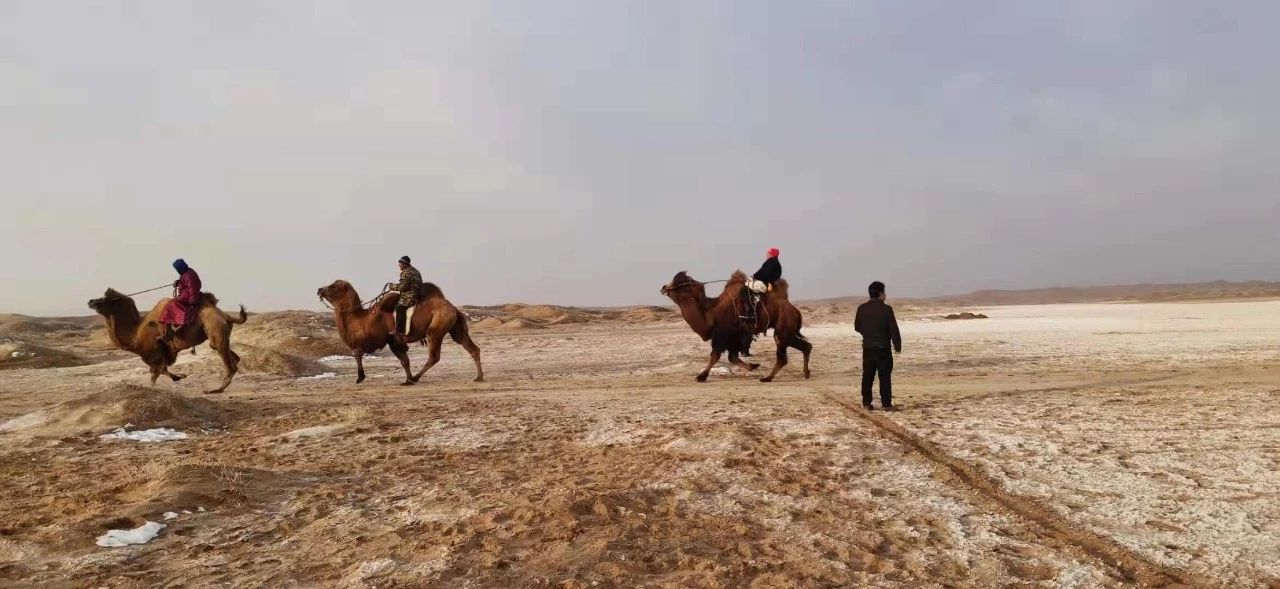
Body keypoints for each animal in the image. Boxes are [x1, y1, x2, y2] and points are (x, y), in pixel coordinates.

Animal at [87, 288, 247, 394]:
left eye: (106, 299)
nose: (91, 301)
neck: (135, 334)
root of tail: (225, 315)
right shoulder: (164, 353)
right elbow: (160, 371)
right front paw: (180, 377)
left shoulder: (155, 353)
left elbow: (155, 373)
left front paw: (176, 378)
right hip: (220, 332)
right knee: (234, 357)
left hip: (215, 328)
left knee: (229, 362)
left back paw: (216, 389)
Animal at [316, 280, 483, 386]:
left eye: (333, 286)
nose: (319, 289)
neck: (360, 319)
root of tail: (454, 309)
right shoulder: (395, 341)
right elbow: (405, 361)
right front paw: (407, 380)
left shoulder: (387, 339)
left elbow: (358, 353)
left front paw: (360, 378)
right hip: (456, 329)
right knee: (473, 348)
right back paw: (479, 377)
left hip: (435, 331)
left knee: (434, 357)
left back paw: (416, 378)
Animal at [660, 270, 808, 381]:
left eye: (680, 283)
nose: (664, 287)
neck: (711, 311)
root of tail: (795, 310)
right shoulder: (734, 338)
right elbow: (733, 357)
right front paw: (753, 366)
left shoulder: (724, 335)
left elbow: (715, 356)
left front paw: (701, 376)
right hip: (788, 331)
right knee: (806, 346)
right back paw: (805, 372)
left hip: (783, 328)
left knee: (783, 355)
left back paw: (768, 378)